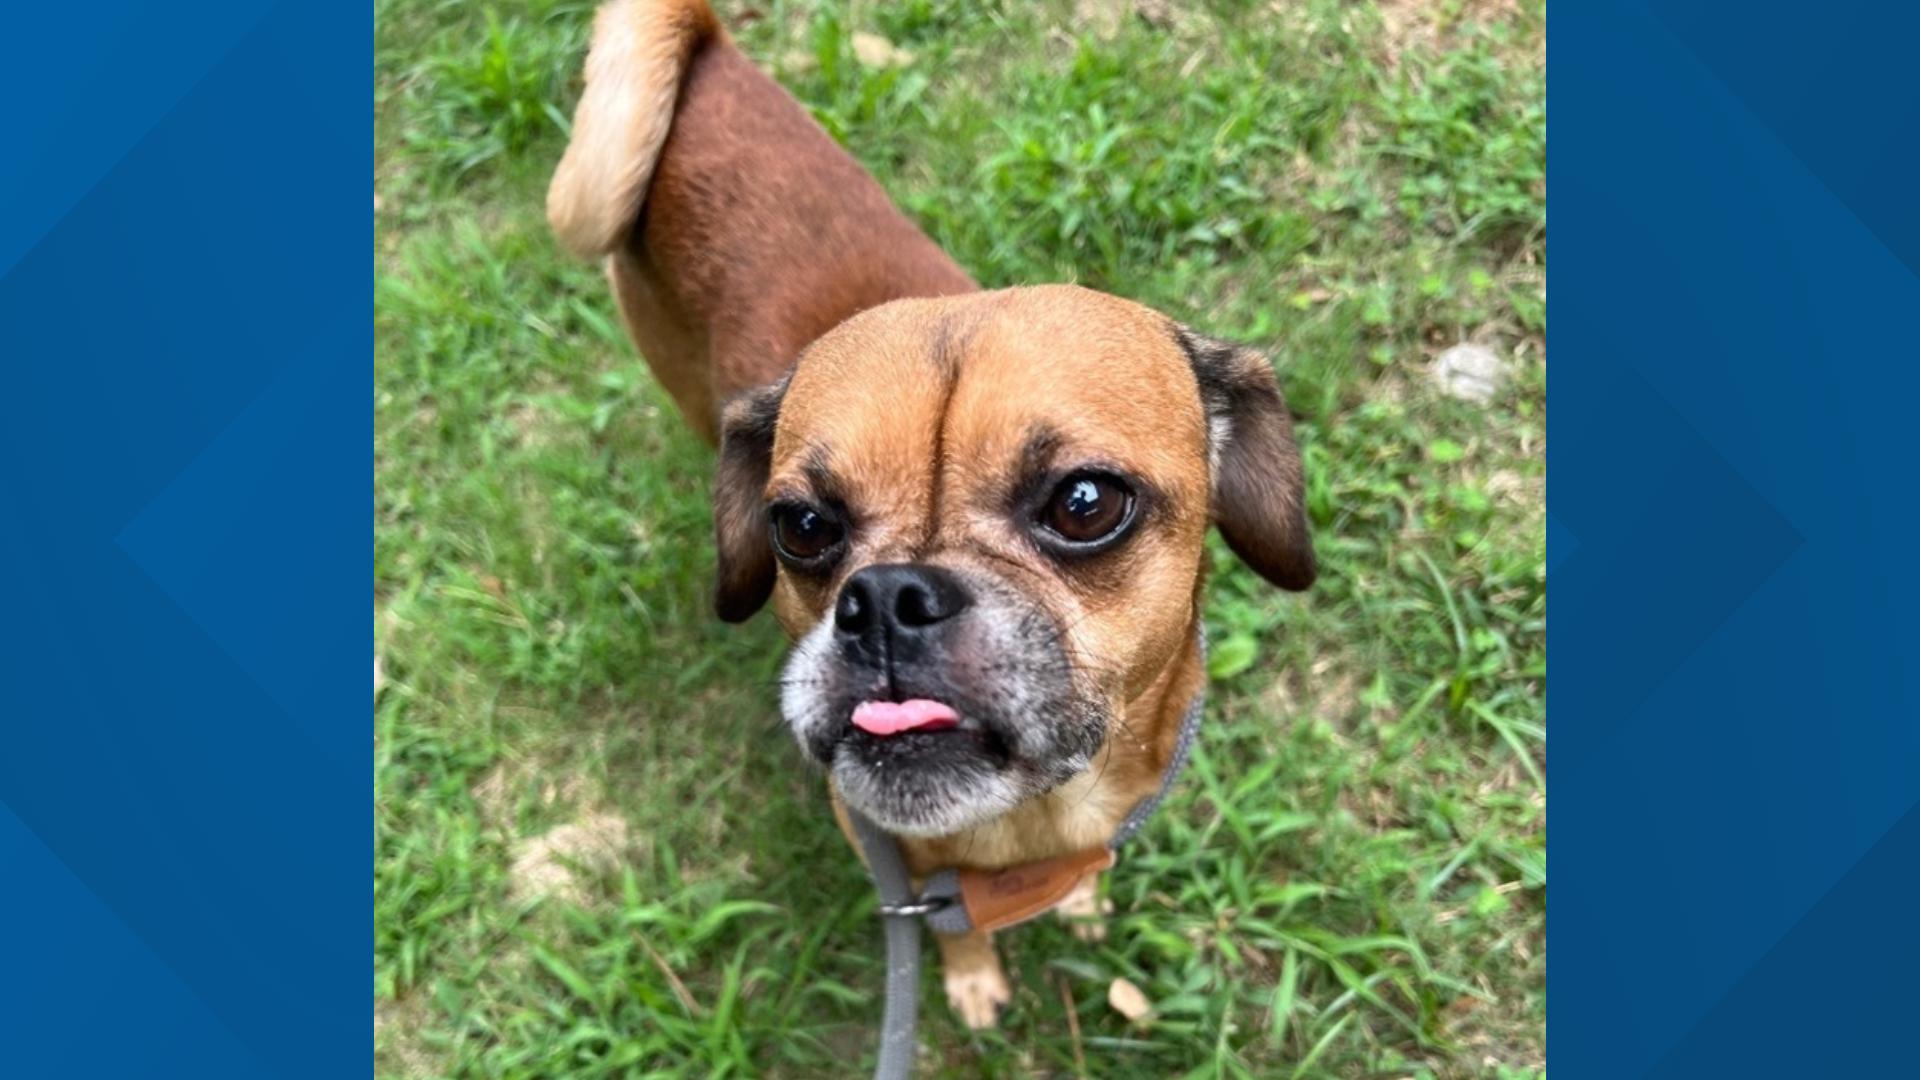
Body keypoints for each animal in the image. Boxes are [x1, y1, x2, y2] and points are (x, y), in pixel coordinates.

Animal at [549, 0, 1313, 1022]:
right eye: (801, 527)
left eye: (1084, 504)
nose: (886, 600)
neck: (1029, 826)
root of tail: (707, 42)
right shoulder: (901, 867)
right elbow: (953, 931)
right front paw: (975, 980)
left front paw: (1080, 901)